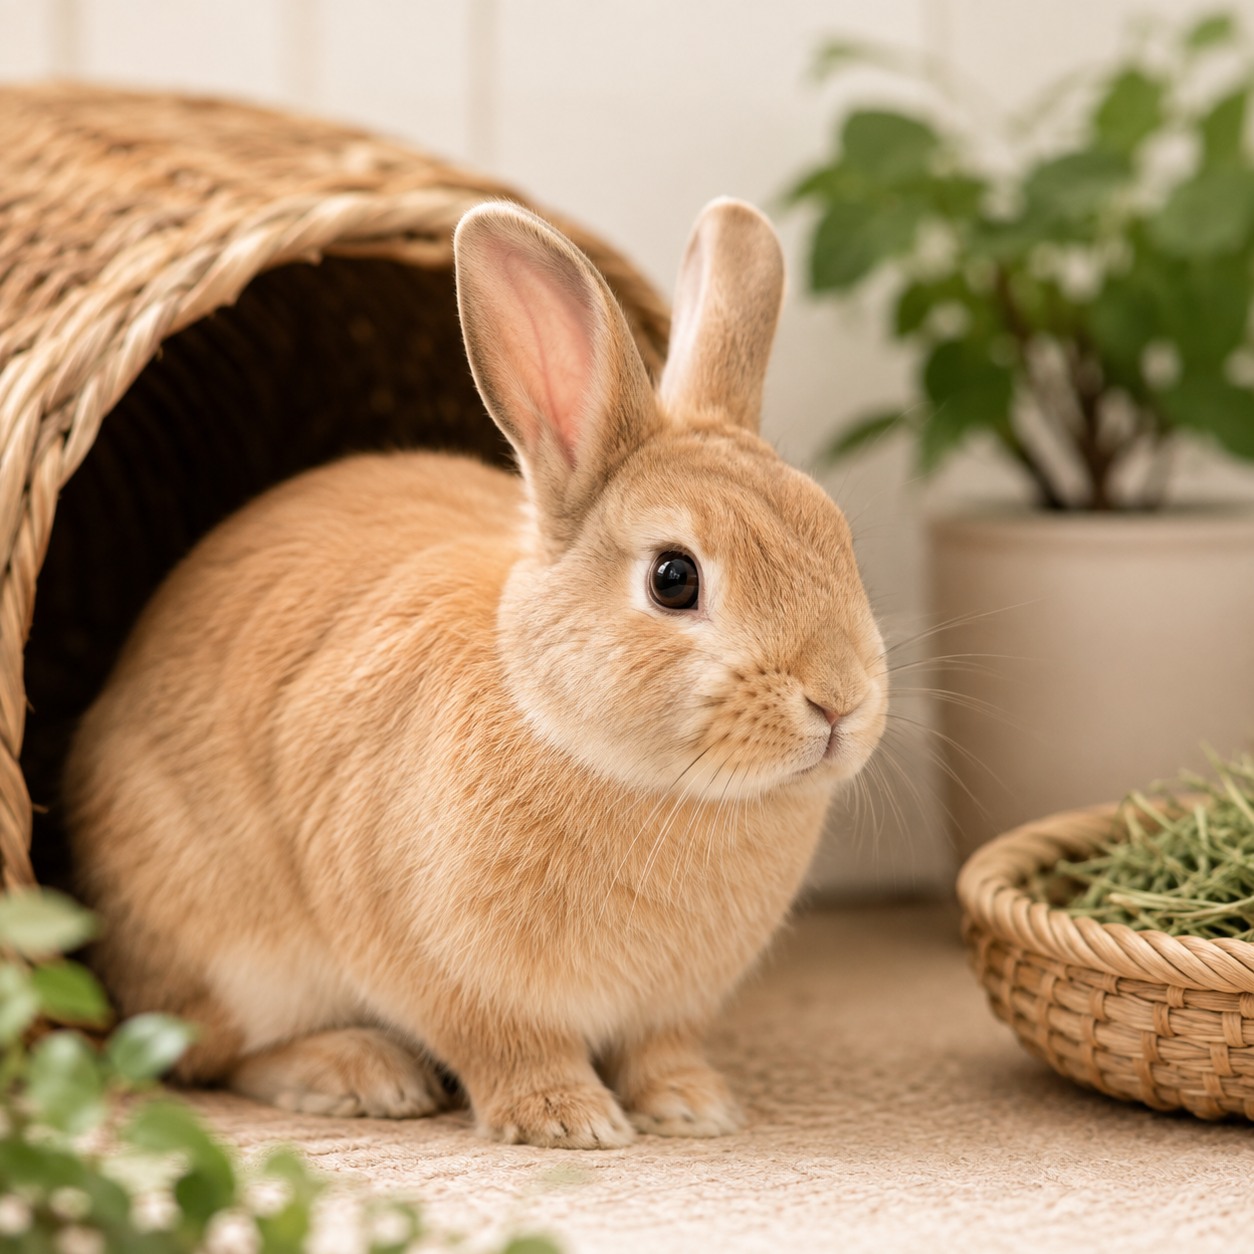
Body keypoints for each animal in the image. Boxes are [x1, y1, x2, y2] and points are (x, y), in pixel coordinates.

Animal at [63, 196, 888, 1149]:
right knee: (208, 1053)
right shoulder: (451, 975)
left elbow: (661, 1048)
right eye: (674, 578)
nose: (840, 702)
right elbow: (508, 1048)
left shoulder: (670, 1008)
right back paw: (363, 1076)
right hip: (233, 953)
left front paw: (694, 1107)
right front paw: (569, 1123)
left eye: (839, 537)